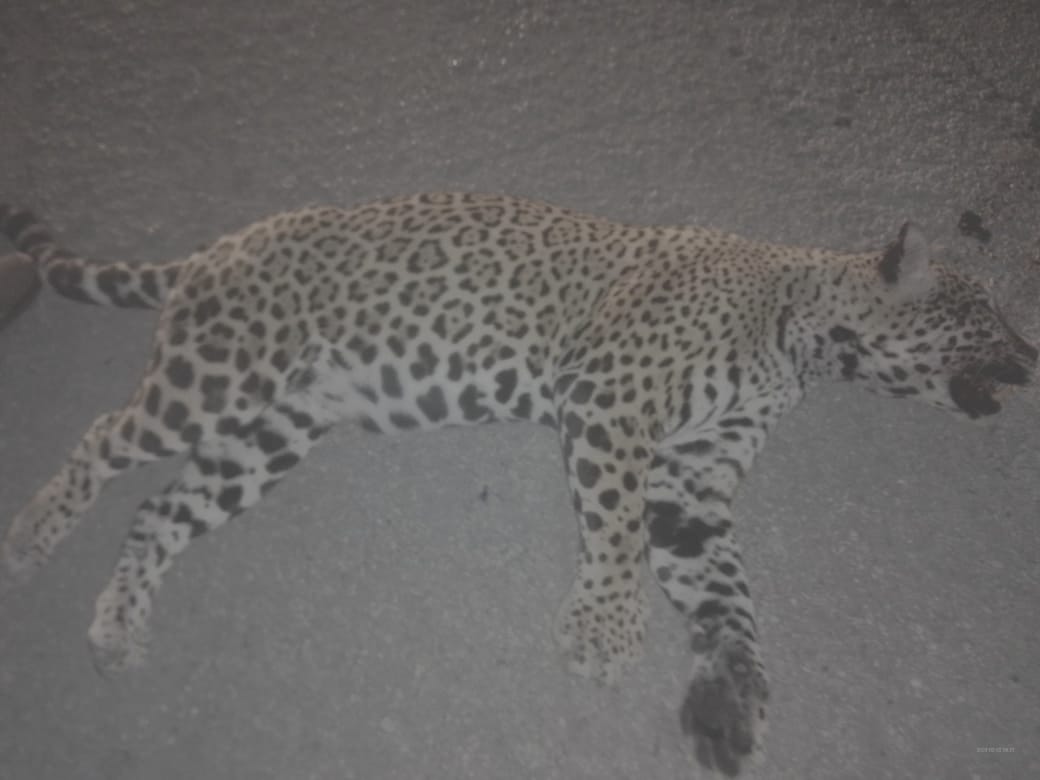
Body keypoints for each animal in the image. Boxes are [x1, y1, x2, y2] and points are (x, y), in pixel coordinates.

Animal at [0, 193, 1035, 777]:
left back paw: (117, 625)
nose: (1032, 358)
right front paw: (605, 632)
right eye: (987, 315)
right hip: (215, 382)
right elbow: (615, 534)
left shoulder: (692, 485)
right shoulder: (614, 403)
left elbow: (729, 599)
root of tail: (214, 247)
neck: (802, 337)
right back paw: (30, 536)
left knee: (158, 507)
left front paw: (731, 702)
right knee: (103, 437)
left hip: (270, 434)